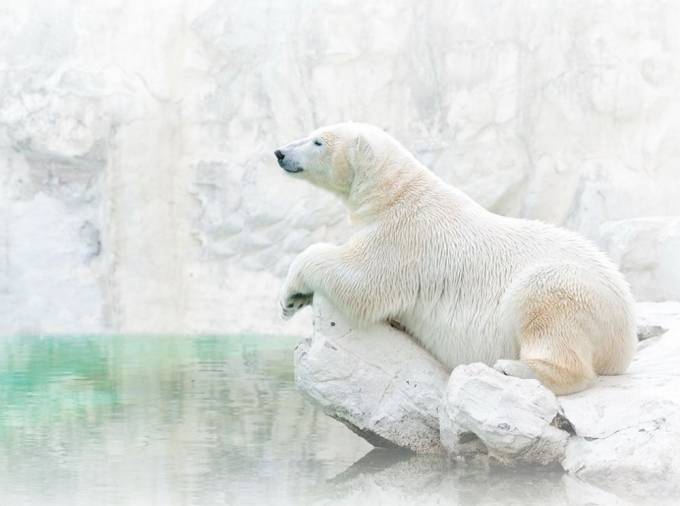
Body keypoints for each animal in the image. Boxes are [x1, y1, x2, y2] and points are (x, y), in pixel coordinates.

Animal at [274, 122, 636, 396]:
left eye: (318, 140)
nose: (280, 152)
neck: (395, 194)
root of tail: (625, 339)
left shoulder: (404, 239)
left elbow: (362, 281)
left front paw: (290, 291)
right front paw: (294, 301)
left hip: (573, 290)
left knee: (547, 306)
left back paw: (513, 368)